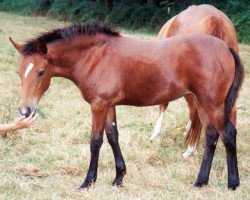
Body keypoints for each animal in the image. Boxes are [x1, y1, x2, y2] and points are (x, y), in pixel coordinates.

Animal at [9, 23, 242, 189]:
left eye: (41, 72)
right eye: (19, 72)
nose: (25, 111)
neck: (95, 56)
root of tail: (225, 48)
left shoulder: (99, 105)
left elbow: (95, 141)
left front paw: (88, 182)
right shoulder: (109, 105)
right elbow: (113, 137)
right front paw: (119, 178)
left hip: (213, 104)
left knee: (228, 134)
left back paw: (232, 183)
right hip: (202, 103)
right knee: (211, 136)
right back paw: (200, 182)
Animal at [151, 3, 239, 159]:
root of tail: (216, 19)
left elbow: (164, 104)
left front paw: (155, 133)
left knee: (194, 109)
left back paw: (191, 147)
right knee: (230, 114)